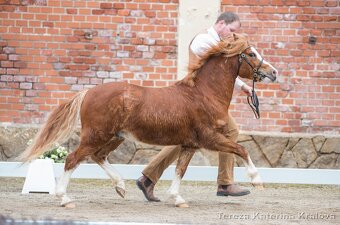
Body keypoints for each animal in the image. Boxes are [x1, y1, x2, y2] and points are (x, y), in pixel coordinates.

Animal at [19, 33, 278, 207]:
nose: (274, 72)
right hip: (96, 135)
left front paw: (177, 198)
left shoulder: (190, 144)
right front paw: (257, 181)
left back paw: (121, 187)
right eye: (251, 54)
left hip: (115, 137)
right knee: (73, 158)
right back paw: (65, 199)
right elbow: (241, 149)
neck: (204, 93)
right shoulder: (209, 139)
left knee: (98, 156)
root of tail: (88, 92)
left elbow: (180, 170)